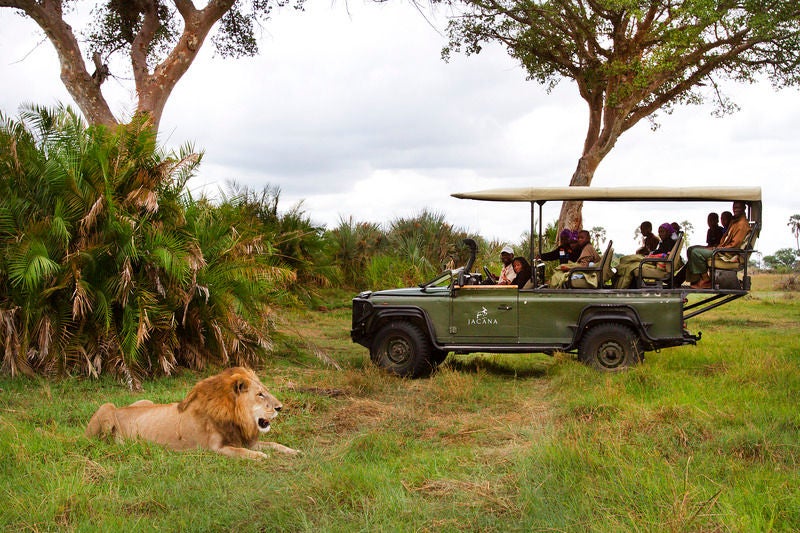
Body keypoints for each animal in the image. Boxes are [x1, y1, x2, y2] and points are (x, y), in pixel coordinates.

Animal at [85, 366, 296, 458]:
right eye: (260, 394)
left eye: (265, 391)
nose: (280, 407)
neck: (237, 417)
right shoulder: (217, 448)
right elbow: (243, 452)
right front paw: (261, 456)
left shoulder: (246, 440)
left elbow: (273, 444)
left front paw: (293, 451)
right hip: (107, 407)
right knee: (100, 441)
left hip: (146, 401)